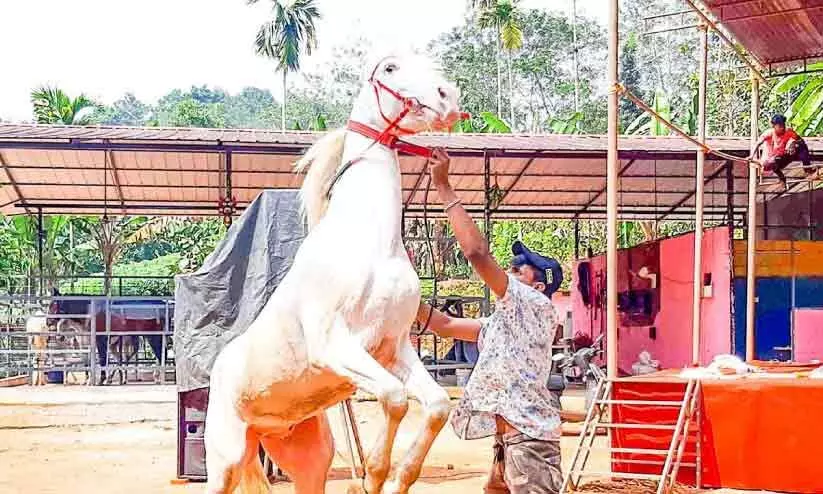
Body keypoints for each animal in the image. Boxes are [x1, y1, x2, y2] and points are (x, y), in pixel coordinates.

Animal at [205, 51, 464, 494]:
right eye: (391, 68)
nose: (449, 97)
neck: (371, 245)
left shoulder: (395, 350)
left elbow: (437, 406)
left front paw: (400, 478)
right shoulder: (336, 347)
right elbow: (395, 399)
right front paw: (371, 477)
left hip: (308, 458)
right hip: (226, 460)